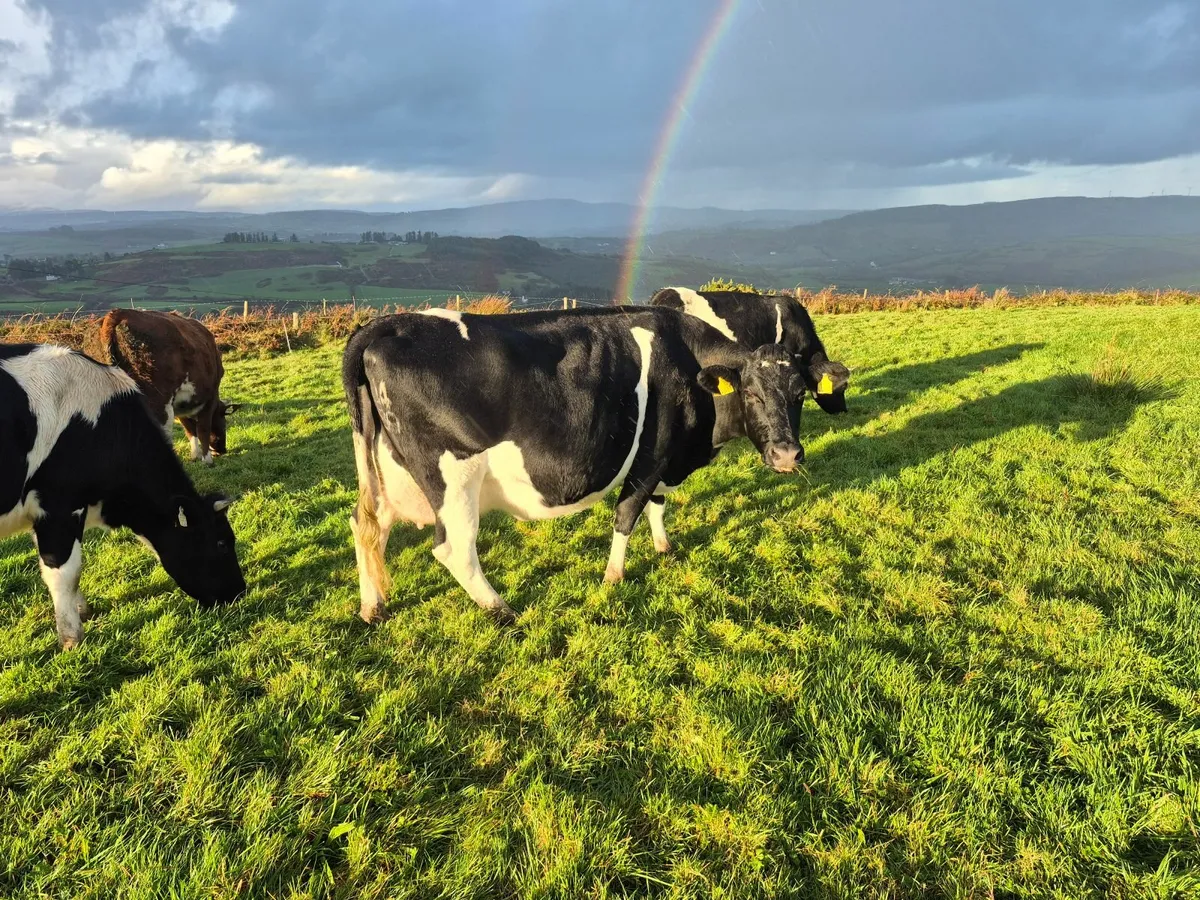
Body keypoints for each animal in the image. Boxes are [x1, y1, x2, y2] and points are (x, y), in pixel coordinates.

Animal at [0, 343, 246, 649]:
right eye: (222, 543)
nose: (239, 591)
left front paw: (81, 610)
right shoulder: (59, 507)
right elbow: (65, 572)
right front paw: (72, 638)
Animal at [83, 309, 238, 465]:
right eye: (224, 420)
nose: (222, 450)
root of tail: (115, 314)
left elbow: (189, 429)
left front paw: (195, 454)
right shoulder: (209, 397)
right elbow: (202, 429)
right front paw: (207, 459)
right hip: (157, 401)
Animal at [343, 305, 806, 625]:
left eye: (799, 393)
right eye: (751, 393)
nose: (787, 454)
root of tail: (386, 324)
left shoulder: (666, 457)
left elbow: (656, 505)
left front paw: (663, 546)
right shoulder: (652, 454)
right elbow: (627, 513)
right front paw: (613, 576)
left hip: (385, 472)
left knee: (368, 526)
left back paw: (373, 607)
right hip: (453, 475)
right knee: (454, 548)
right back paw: (502, 610)